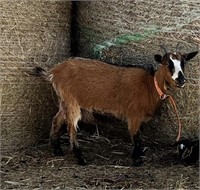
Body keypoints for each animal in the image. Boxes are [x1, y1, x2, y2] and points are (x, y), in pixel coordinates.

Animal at [32, 46, 198, 166]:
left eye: (183, 63)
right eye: (167, 64)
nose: (181, 80)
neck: (150, 85)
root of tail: (54, 71)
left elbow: (139, 136)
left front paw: (139, 154)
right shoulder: (134, 116)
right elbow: (136, 136)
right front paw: (136, 160)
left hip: (64, 101)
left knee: (57, 119)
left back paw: (57, 149)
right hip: (71, 101)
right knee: (71, 128)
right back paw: (80, 158)